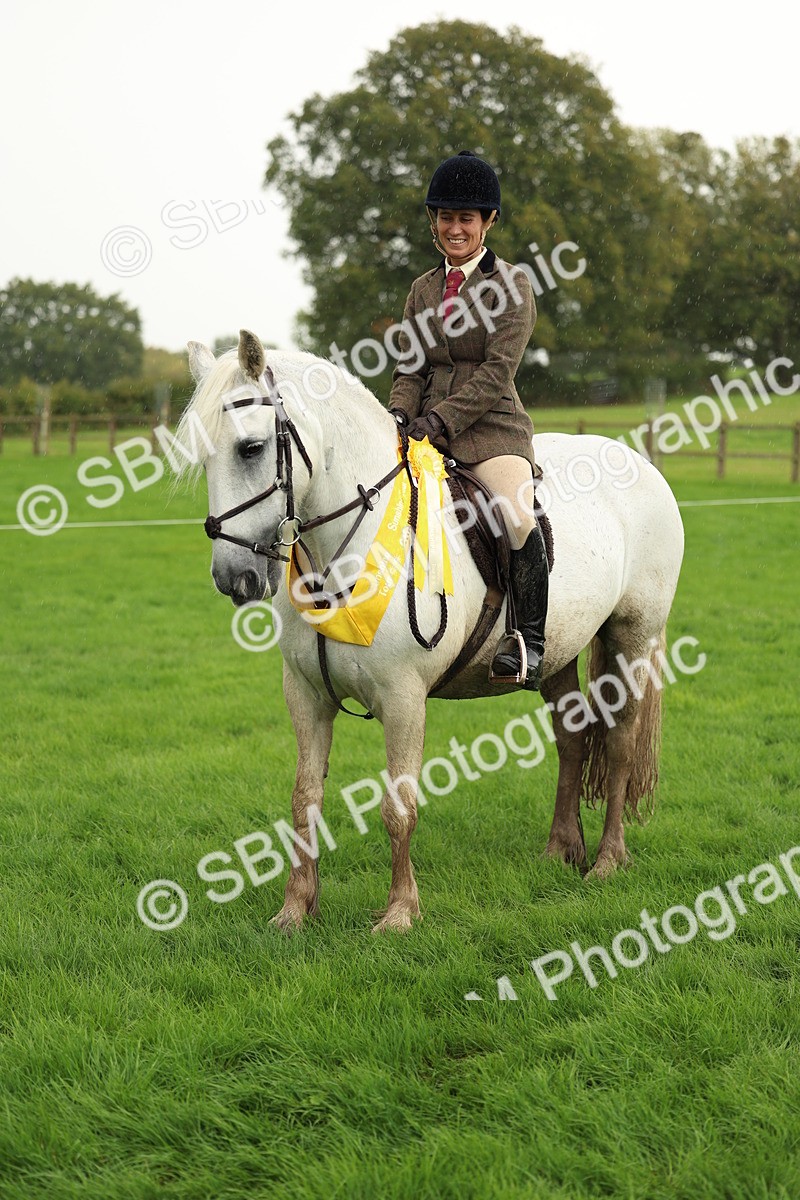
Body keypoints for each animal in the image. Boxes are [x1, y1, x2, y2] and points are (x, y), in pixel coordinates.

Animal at [177, 330, 684, 933]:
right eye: (203, 456)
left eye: (251, 449)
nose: (235, 577)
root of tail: (638, 462)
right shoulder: (306, 696)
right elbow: (304, 800)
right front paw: (295, 910)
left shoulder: (403, 700)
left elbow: (398, 807)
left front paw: (399, 913)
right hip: (557, 654)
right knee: (572, 738)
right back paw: (561, 850)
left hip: (633, 638)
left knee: (621, 742)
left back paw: (607, 860)